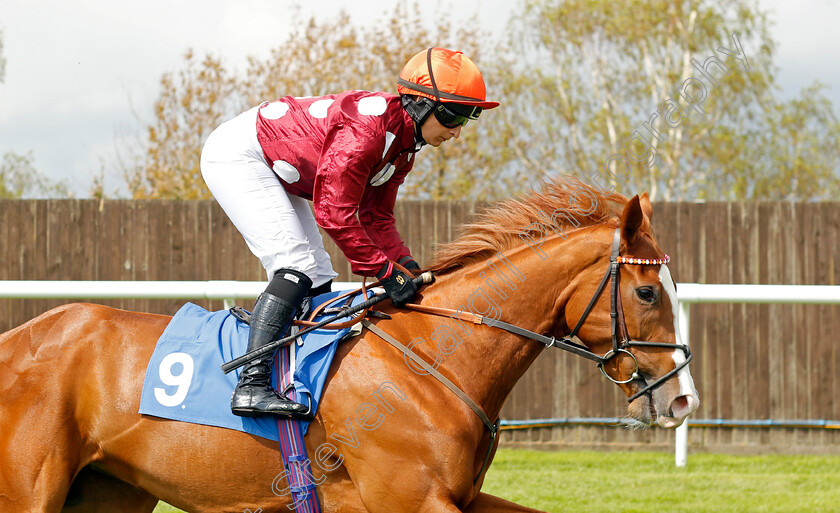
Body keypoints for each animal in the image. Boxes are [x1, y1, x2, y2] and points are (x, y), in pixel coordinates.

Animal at [0, 178, 700, 510]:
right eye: (647, 292)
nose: (683, 400)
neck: (434, 357)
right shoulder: (410, 499)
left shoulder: (460, 498)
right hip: (30, 492)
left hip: (107, 492)